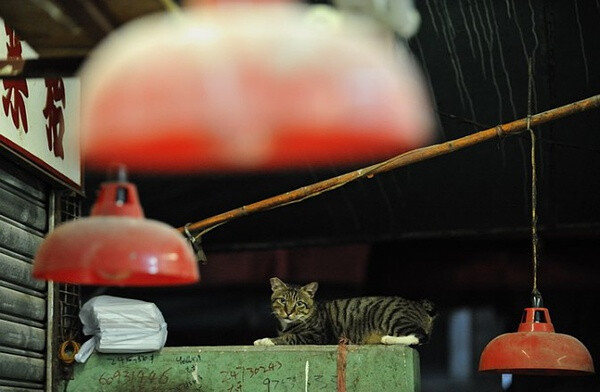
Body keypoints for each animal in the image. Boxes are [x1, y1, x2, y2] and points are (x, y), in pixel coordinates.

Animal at [253, 278, 436, 344]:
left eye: (299, 303)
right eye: (282, 300)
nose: (289, 312)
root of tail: (419, 304)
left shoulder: (316, 336)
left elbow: (290, 337)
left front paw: (265, 340)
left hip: (394, 317)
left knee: (419, 337)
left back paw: (388, 339)